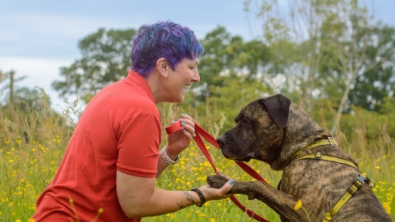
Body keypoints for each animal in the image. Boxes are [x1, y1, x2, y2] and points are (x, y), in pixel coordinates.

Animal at [207, 94, 392, 222]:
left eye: (245, 120)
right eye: (237, 120)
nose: (219, 140)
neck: (305, 147)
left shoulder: (304, 211)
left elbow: (258, 185)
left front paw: (223, 181)